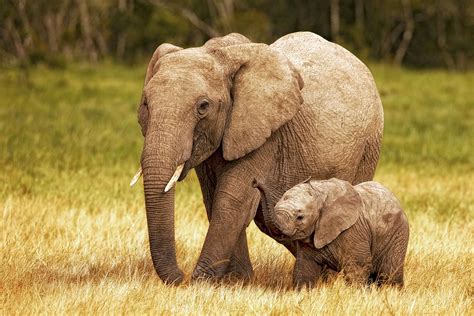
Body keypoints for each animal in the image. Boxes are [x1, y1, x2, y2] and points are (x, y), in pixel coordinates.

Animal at [131, 31, 384, 284]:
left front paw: (204, 281)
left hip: (368, 145)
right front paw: (237, 282)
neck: (222, 54)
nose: (181, 277)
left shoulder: (264, 136)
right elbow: (214, 199)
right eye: (146, 103)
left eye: (203, 106)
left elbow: (231, 200)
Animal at [254, 178, 410, 288]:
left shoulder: (354, 231)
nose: (255, 182)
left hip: (397, 234)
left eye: (300, 217)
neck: (320, 195)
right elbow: (305, 268)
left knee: (389, 273)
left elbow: (357, 267)